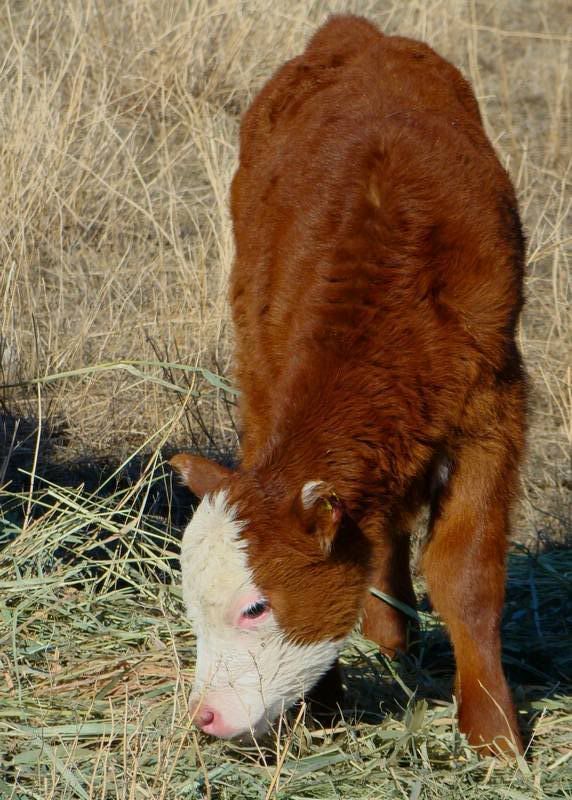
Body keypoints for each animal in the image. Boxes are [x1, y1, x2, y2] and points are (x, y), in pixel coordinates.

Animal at [170, 14, 527, 754]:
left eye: (256, 607)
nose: (205, 718)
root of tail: (356, 34)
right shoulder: (269, 373)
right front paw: (324, 700)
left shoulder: (494, 407)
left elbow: (467, 577)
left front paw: (495, 733)